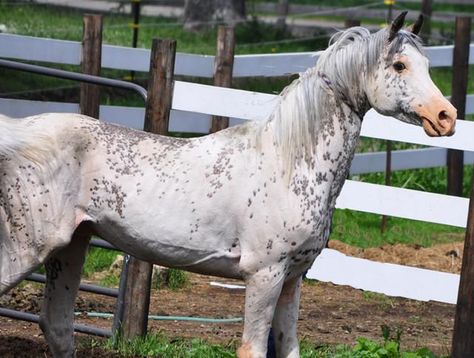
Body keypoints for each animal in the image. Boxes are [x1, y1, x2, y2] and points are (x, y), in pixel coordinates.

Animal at [0, 12, 456, 358]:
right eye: (399, 66)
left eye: (427, 65)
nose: (446, 116)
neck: (289, 161)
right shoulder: (265, 275)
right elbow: (251, 350)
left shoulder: (293, 278)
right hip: (27, 249)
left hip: (71, 248)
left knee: (58, 325)